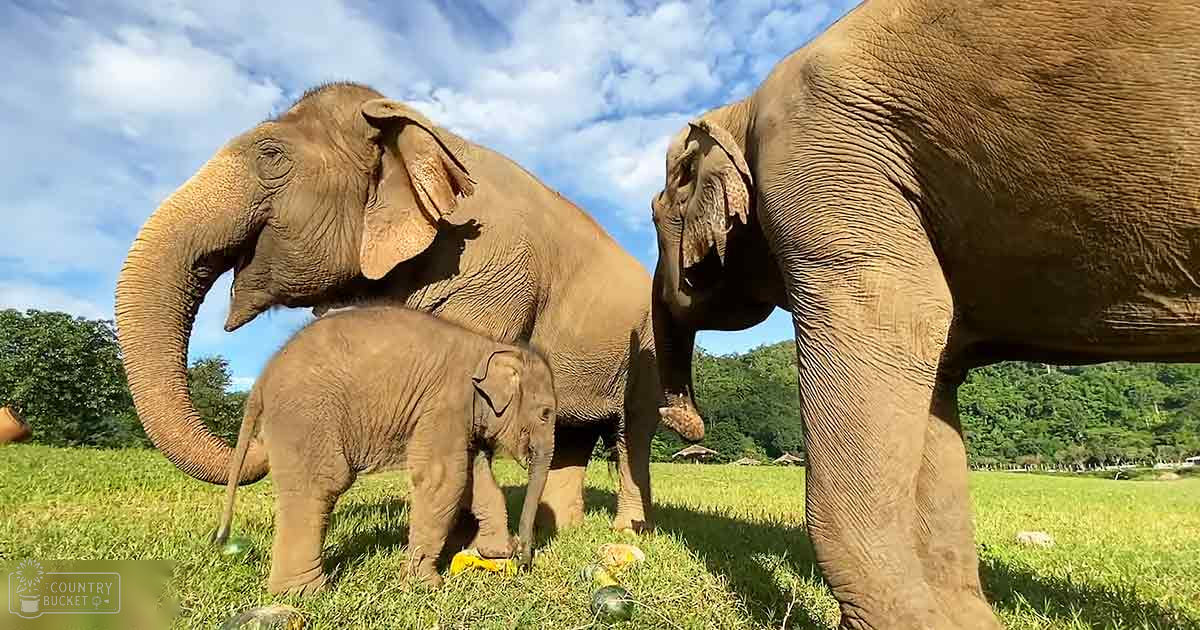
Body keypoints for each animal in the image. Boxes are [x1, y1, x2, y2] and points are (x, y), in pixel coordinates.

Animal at [114, 82, 694, 537]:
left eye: (271, 155)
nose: (256, 450)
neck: (422, 131)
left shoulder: (495, 270)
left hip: (647, 347)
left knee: (631, 433)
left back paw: (626, 532)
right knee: (574, 436)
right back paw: (567, 530)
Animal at [211, 305, 557, 596]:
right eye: (545, 413)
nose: (523, 556)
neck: (489, 345)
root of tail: (260, 381)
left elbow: (477, 478)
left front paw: (494, 554)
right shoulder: (445, 401)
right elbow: (444, 479)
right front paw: (423, 585)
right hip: (305, 416)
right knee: (319, 486)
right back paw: (304, 593)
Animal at [649, 1, 1199, 628]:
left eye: (655, 215)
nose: (689, 426)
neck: (741, 108)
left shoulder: (822, 158)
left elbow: (892, 323)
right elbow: (937, 380)